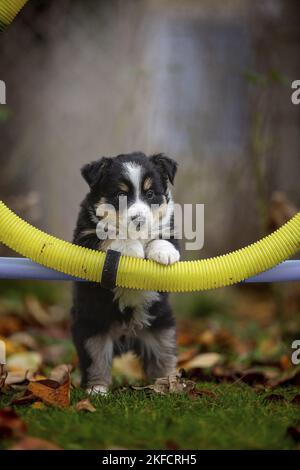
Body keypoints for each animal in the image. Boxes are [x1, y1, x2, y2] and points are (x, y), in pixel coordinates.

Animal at [71, 151, 179, 392]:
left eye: (150, 193)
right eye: (121, 194)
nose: (138, 220)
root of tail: (127, 335)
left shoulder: (169, 229)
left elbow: (161, 237)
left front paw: (165, 253)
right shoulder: (85, 238)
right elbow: (110, 236)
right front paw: (132, 248)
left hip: (161, 330)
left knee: (164, 359)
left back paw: (171, 385)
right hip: (91, 331)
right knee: (97, 363)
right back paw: (97, 390)